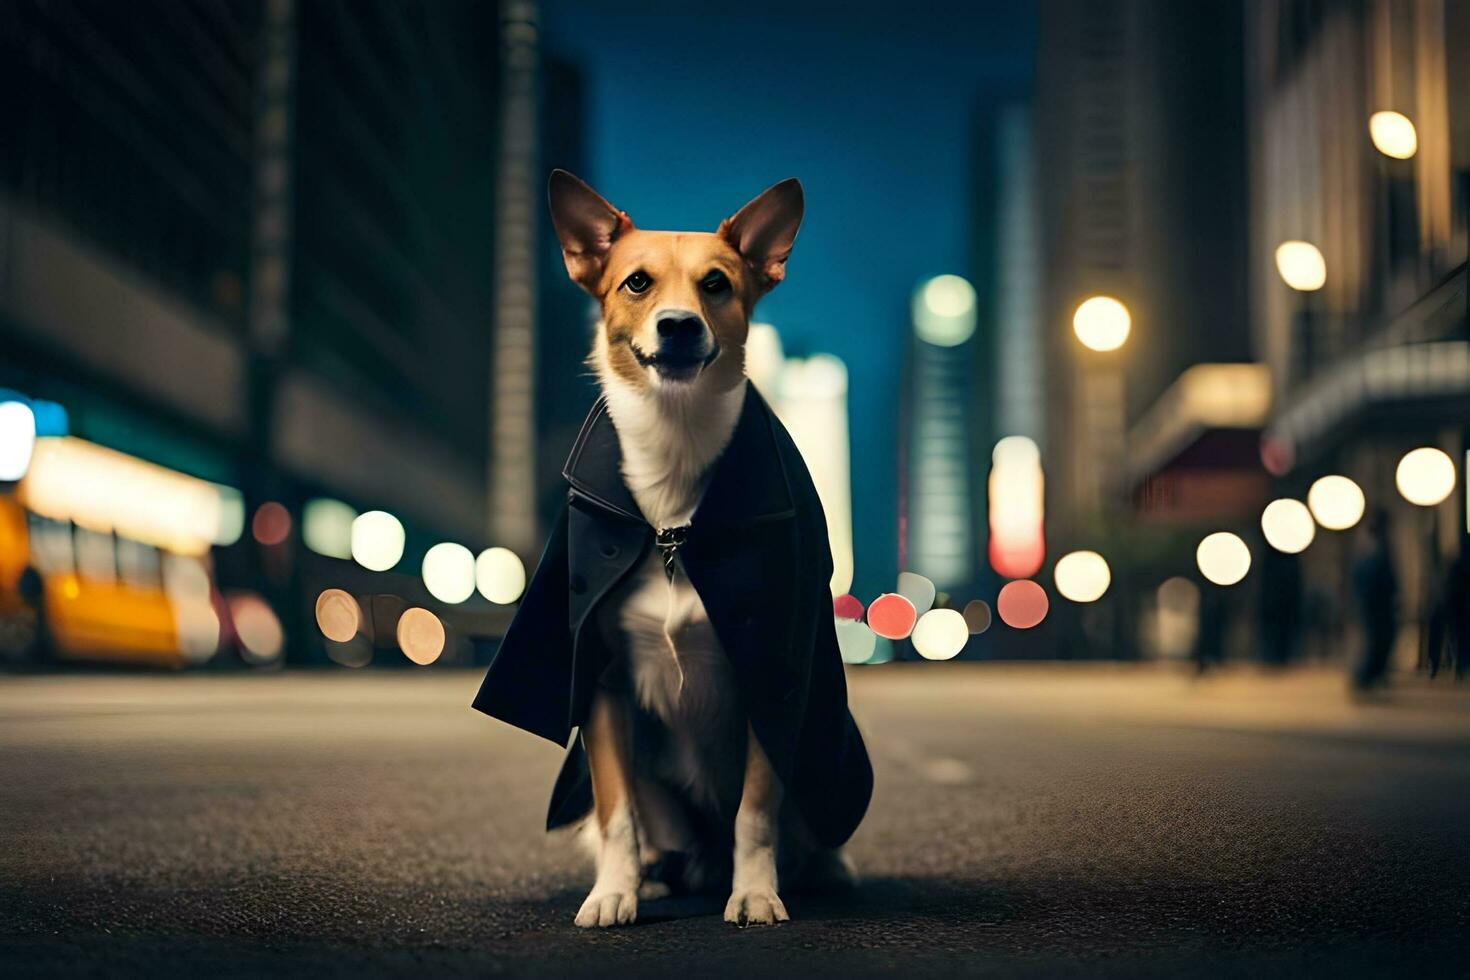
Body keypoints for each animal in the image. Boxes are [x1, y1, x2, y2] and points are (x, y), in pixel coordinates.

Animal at [476, 172, 870, 934]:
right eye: (636, 282)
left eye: (716, 284)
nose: (680, 324)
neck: (675, 451)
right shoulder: (602, 684)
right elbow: (616, 814)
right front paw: (615, 892)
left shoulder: (768, 683)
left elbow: (755, 816)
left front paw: (755, 894)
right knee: (650, 833)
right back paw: (657, 877)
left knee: (793, 837)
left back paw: (811, 873)